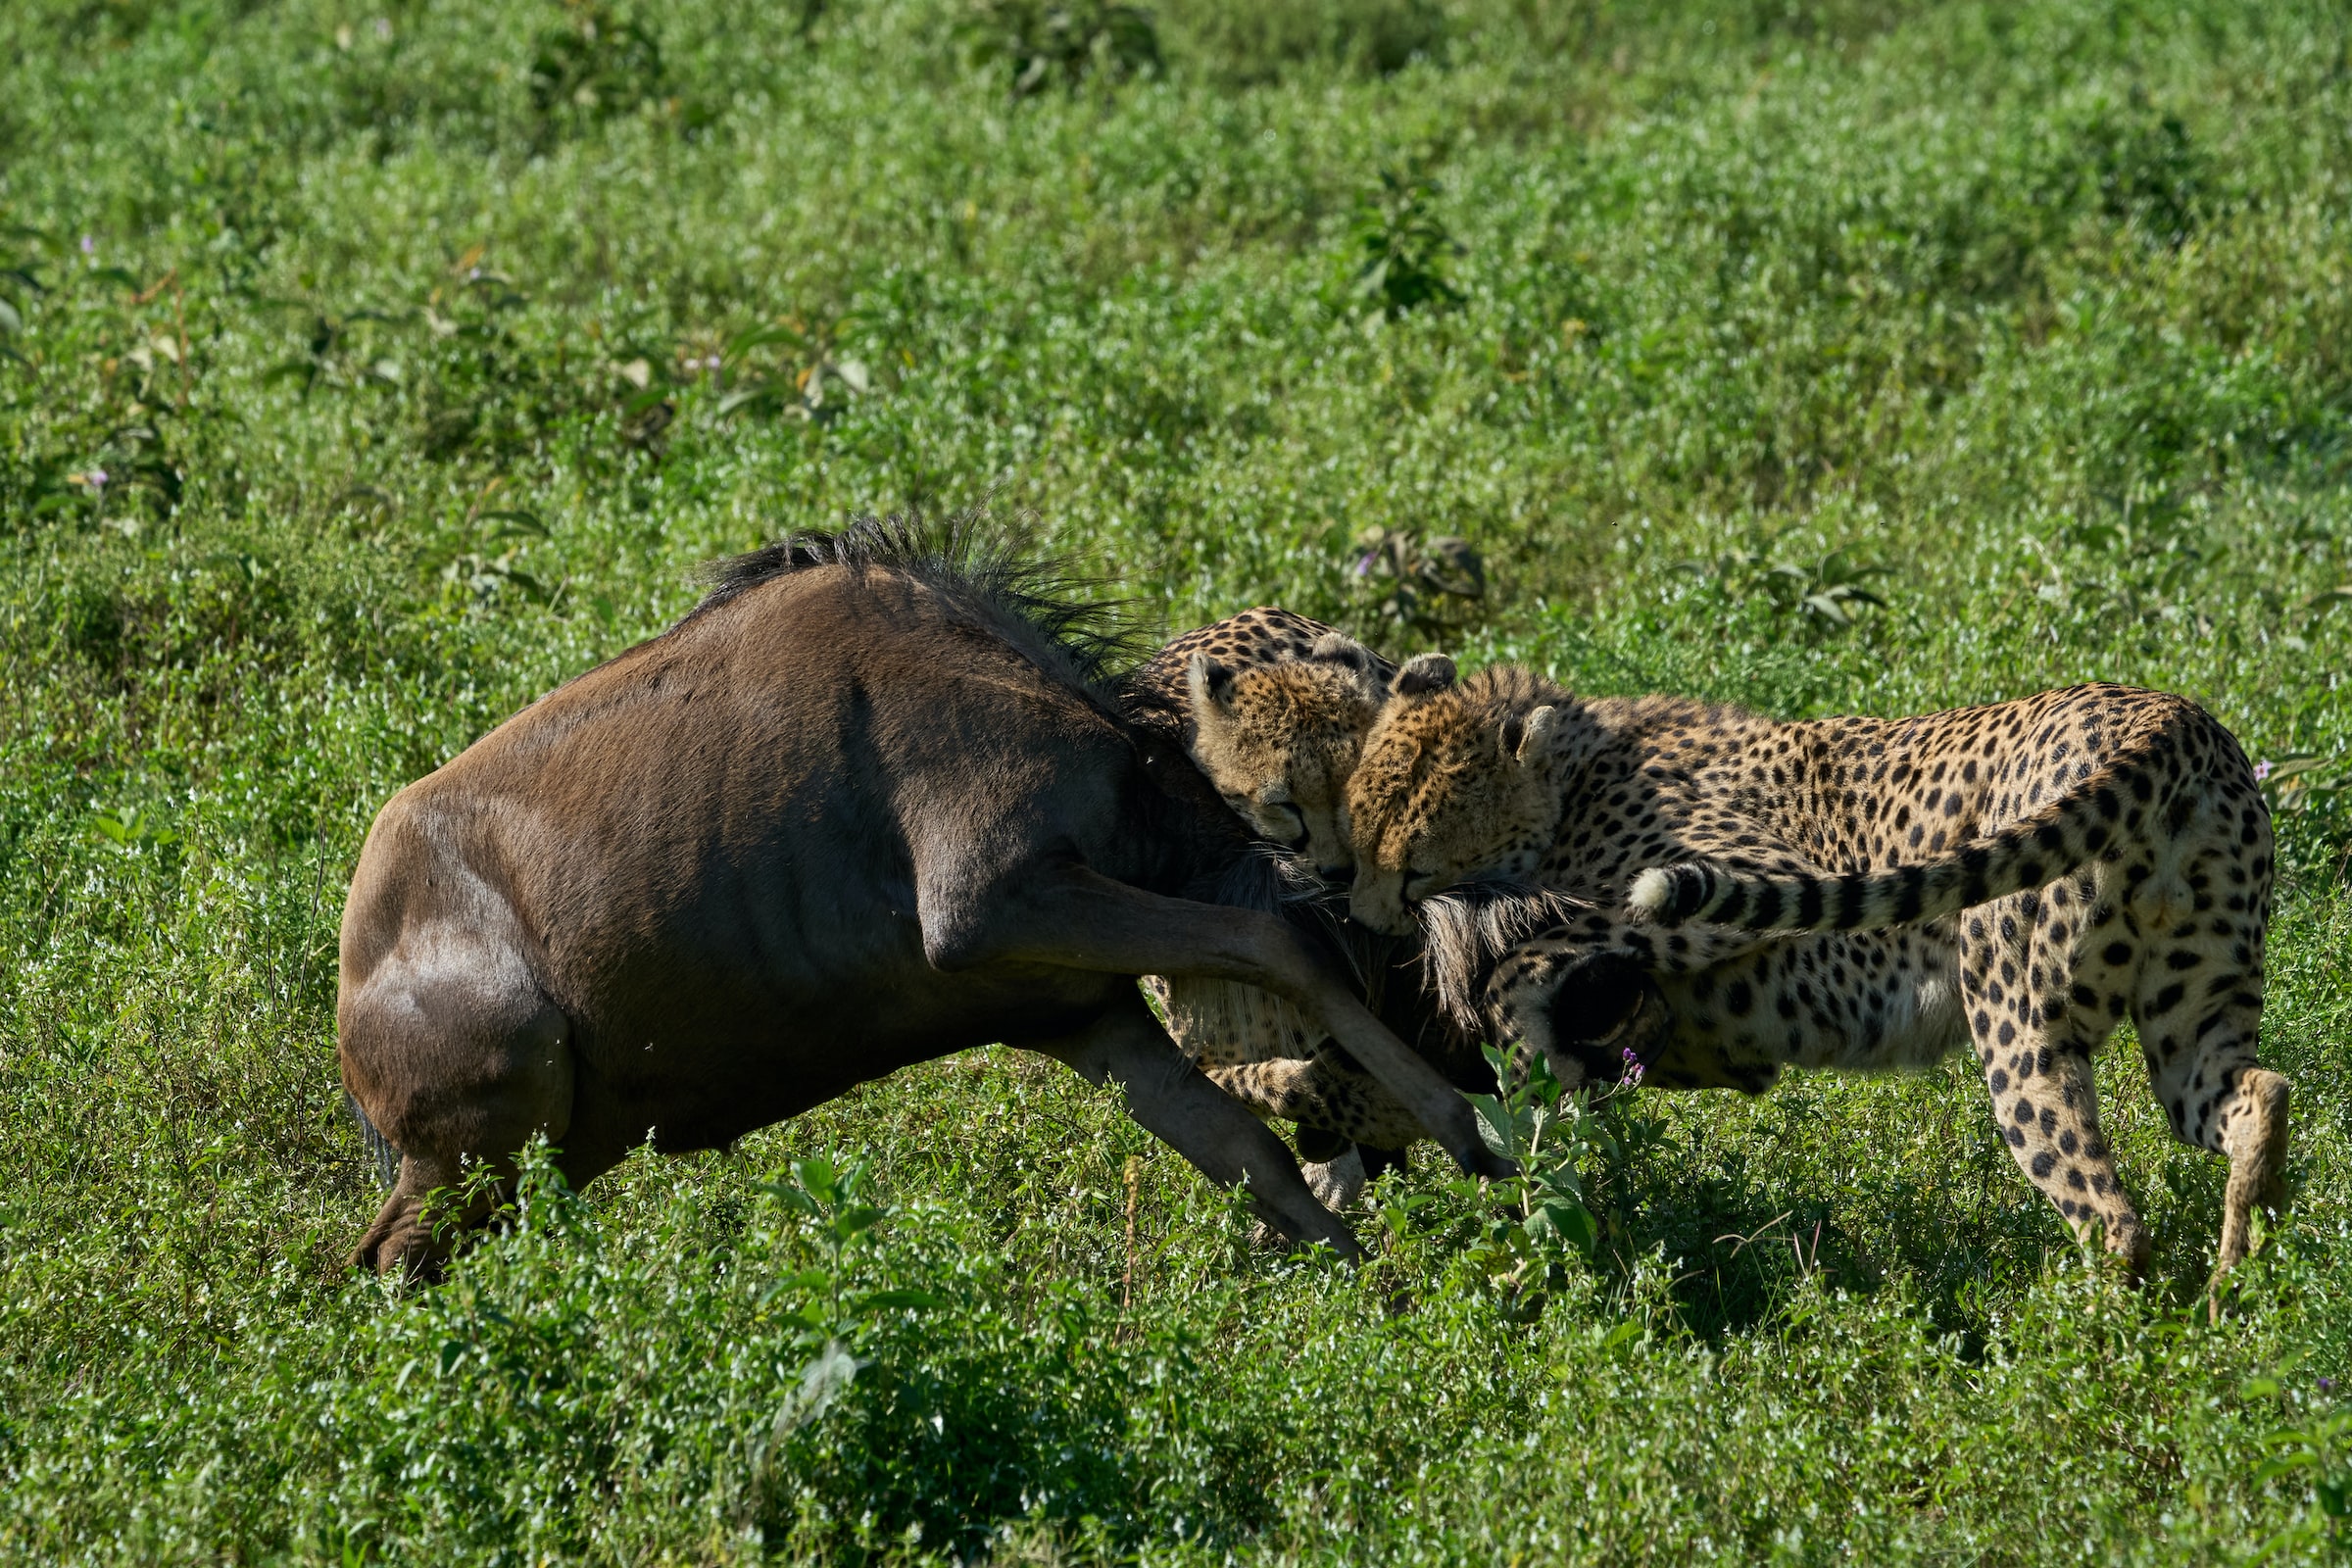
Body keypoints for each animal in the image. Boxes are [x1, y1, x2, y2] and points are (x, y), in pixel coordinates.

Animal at [1354, 667, 2285, 1288]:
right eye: (1359, 834)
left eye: (1413, 865)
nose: (1357, 913)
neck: (1575, 776)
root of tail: (2166, 711)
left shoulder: (1740, 876)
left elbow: (1527, 961)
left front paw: (1531, 1077)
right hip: (2193, 1014)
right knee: (2258, 1093)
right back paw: (2242, 1284)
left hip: (2020, 1027)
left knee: (2109, 1216)